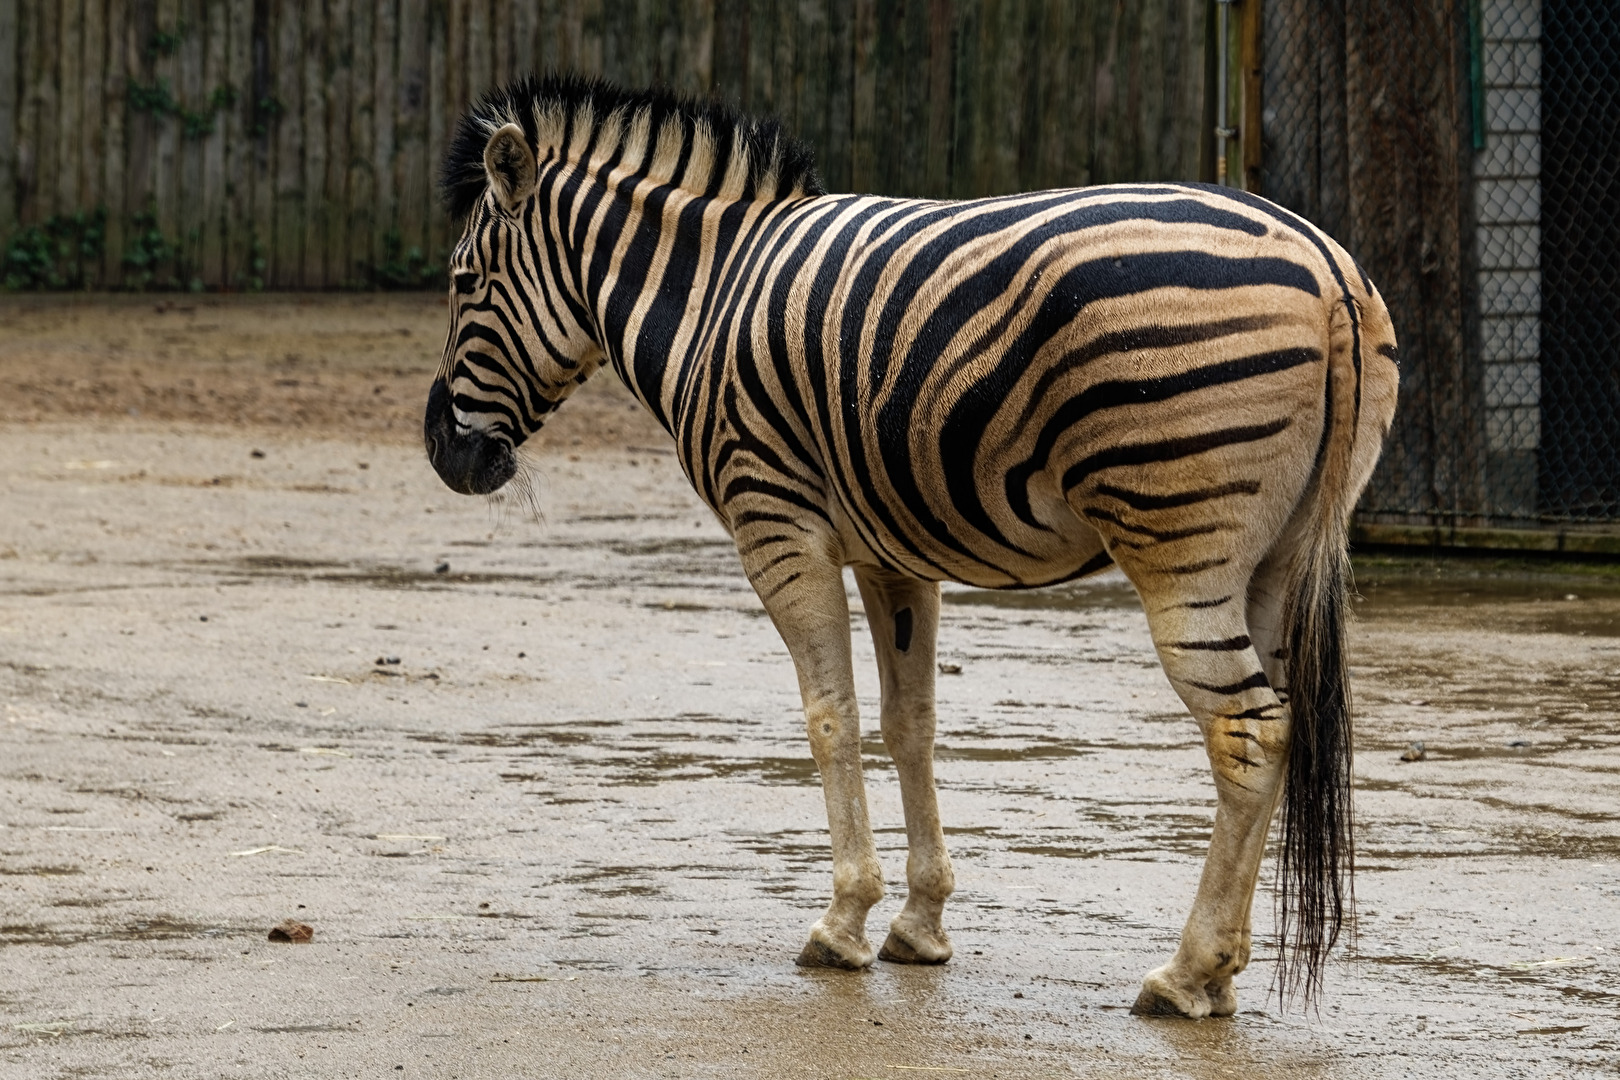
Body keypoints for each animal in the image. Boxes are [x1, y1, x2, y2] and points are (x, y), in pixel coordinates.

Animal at [424, 75, 1399, 1018]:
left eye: (465, 282)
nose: (443, 453)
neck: (706, 300)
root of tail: (1325, 270)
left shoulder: (776, 524)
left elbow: (831, 716)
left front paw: (841, 921)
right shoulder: (893, 555)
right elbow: (910, 724)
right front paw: (920, 924)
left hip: (1179, 541)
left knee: (1249, 732)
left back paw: (1186, 977)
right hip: (1278, 558)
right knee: (1282, 727)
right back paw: (1225, 973)